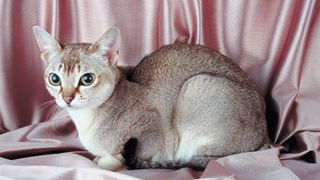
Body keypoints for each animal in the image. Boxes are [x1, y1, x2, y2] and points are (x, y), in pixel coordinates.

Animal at [32, 25, 268, 170]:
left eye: (87, 79)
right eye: (54, 79)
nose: (67, 98)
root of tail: (265, 134)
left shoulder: (153, 134)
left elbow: (116, 159)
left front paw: (107, 161)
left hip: (197, 85)